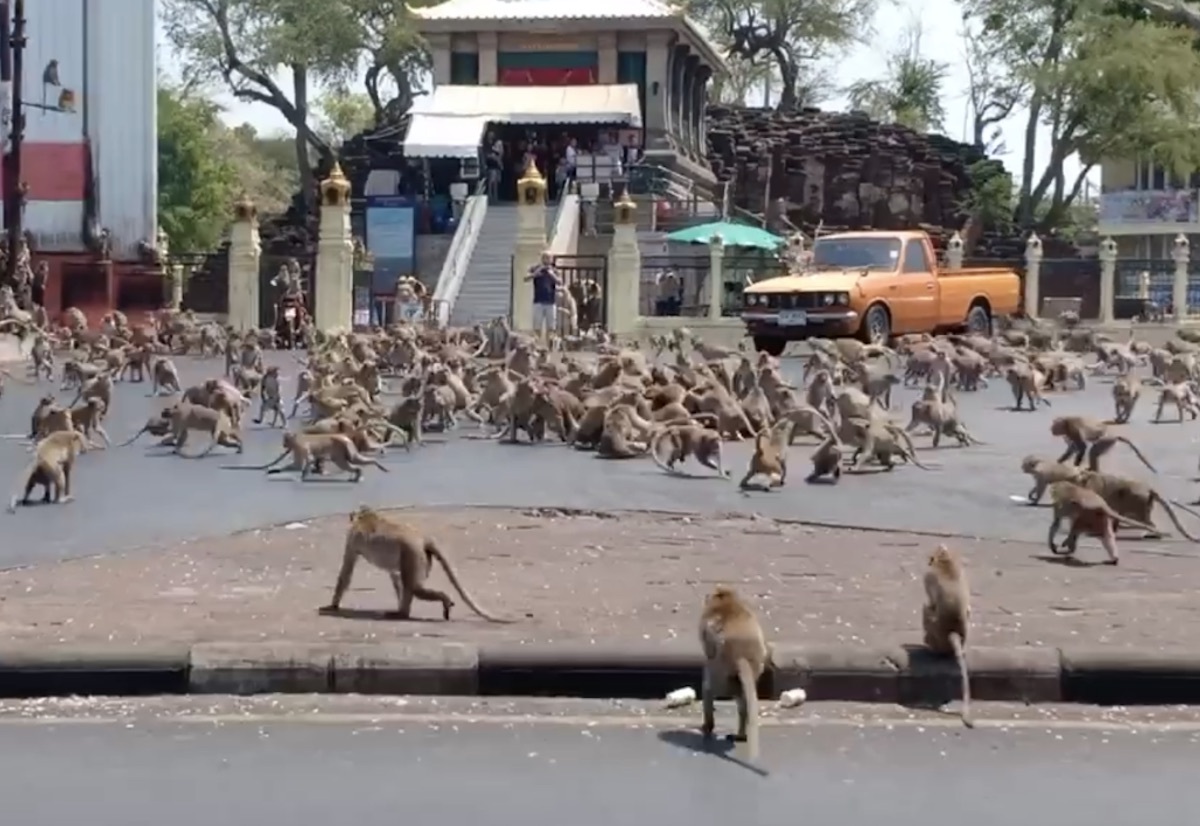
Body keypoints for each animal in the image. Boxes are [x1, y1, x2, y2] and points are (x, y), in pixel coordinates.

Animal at [316, 504, 513, 624]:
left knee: (415, 587)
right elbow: (395, 576)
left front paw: (332, 606)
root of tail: (423, 539)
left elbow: (346, 572)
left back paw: (430, 604)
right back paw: (403, 612)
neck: (367, 516)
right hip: (419, 557)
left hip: (414, 554)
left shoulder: (352, 540)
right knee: (409, 585)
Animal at [921, 547, 969, 729]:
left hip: (934, 634)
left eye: (930, 558)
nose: (928, 561)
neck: (946, 560)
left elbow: (930, 602)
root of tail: (953, 631)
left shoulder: (928, 576)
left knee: (926, 610)